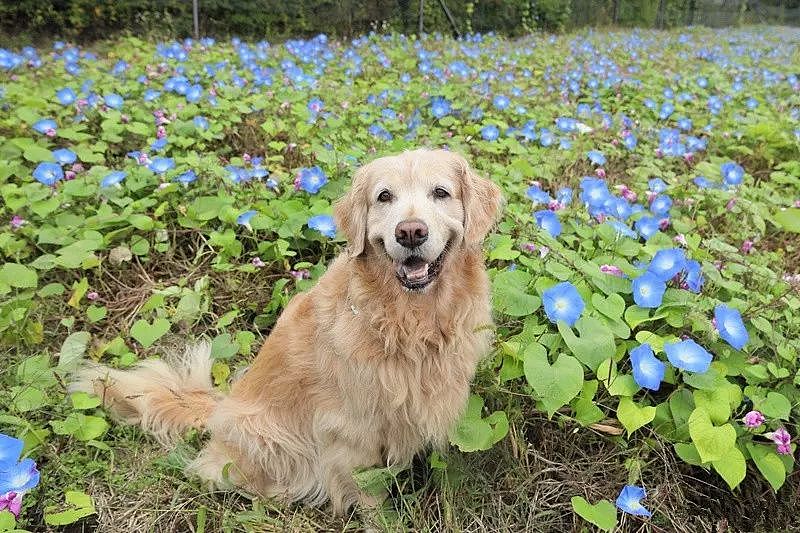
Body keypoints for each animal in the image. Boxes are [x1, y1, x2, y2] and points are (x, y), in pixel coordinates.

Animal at [73, 148, 500, 512]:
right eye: (384, 197)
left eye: (440, 192)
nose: (410, 232)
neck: (408, 320)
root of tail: (220, 407)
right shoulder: (352, 432)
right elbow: (370, 496)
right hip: (265, 437)